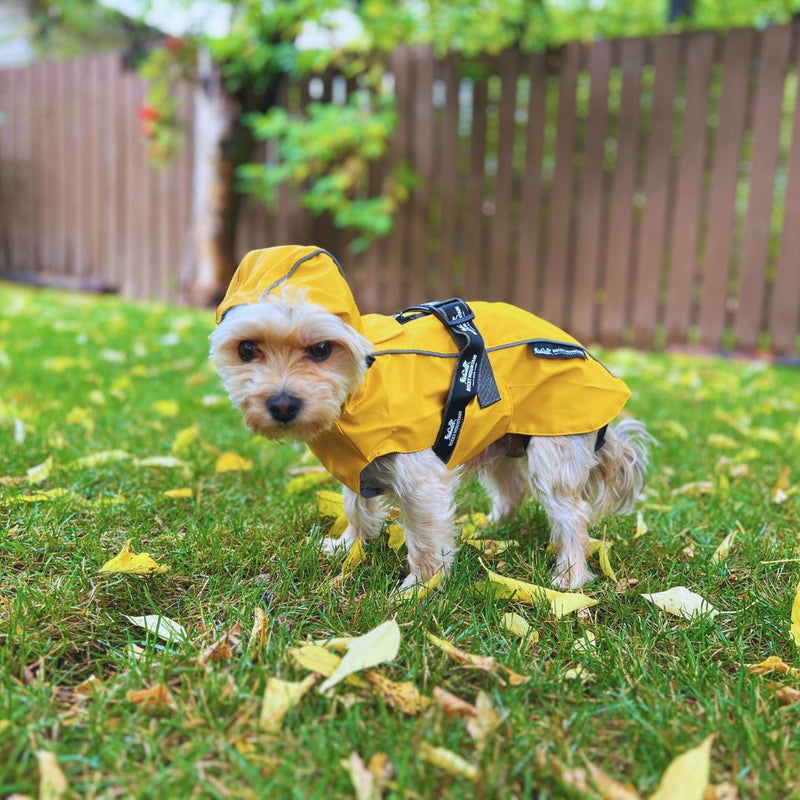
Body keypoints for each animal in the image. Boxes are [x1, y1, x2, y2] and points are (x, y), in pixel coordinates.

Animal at [209, 247, 652, 592]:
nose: (282, 404)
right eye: (246, 349)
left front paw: (420, 588)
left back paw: (571, 578)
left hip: (554, 449)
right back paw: (490, 528)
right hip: (498, 437)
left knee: (571, 515)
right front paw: (348, 545)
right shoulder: (358, 464)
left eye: (321, 349)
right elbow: (356, 507)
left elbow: (423, 537)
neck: (359, 387)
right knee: (512, 489)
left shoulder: (421, 479)